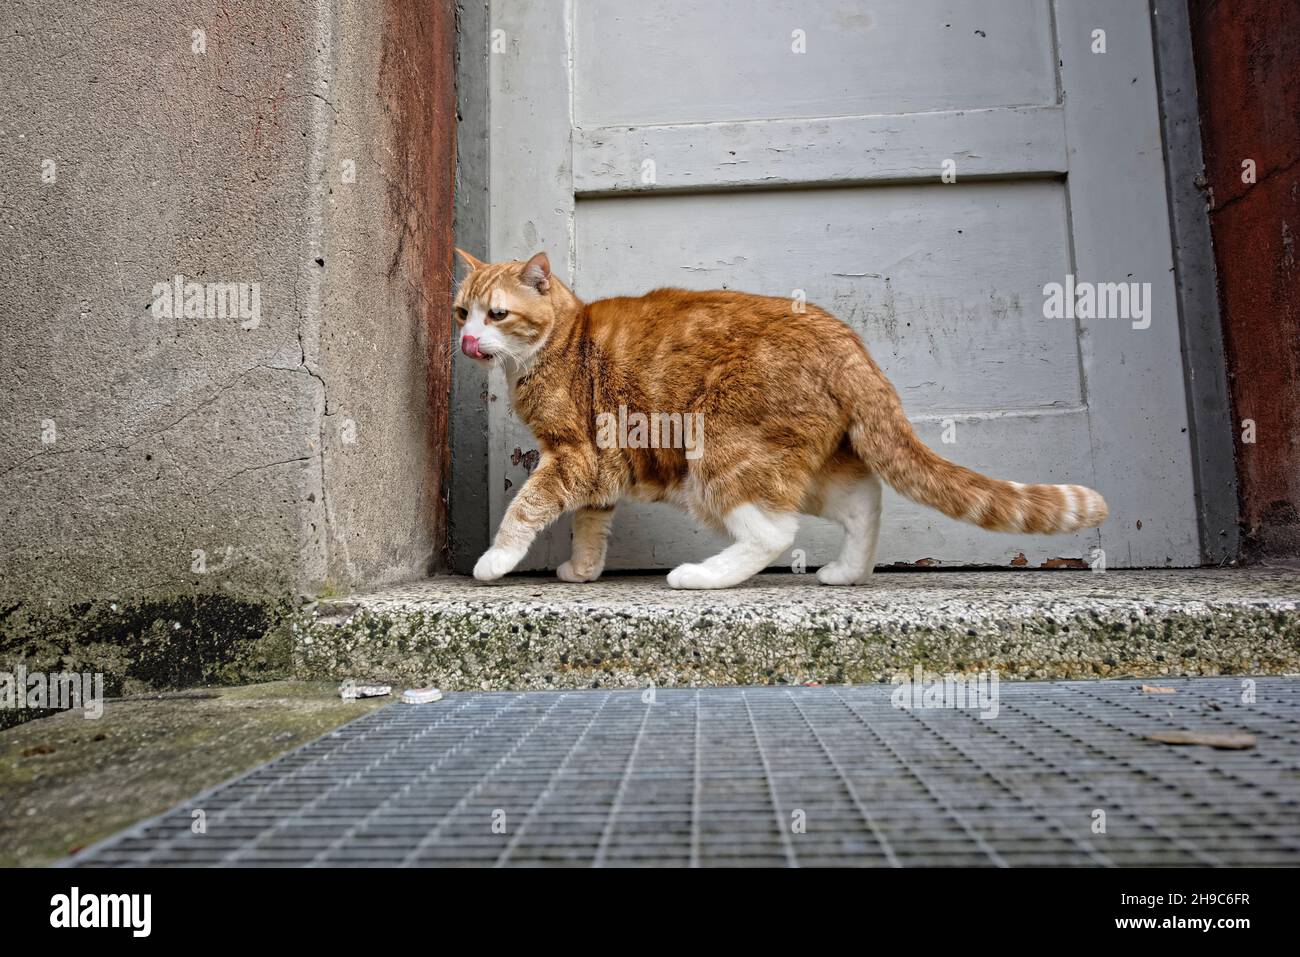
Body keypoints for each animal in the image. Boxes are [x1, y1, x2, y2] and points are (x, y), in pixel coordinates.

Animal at [454, 250, 1107, 587]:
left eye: (497, 314)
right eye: (462, 311)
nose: (464, 339)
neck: (558, 343)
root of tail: (844, 339)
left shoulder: (573, 457)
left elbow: (525, 509)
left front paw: (495, 562)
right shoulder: (599, 470)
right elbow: (591, 526)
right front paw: (583, 571)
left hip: (723, 455)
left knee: (774, 533)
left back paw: (701, 577)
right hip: (807, 462)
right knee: (863, 503)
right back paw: (846, 572)